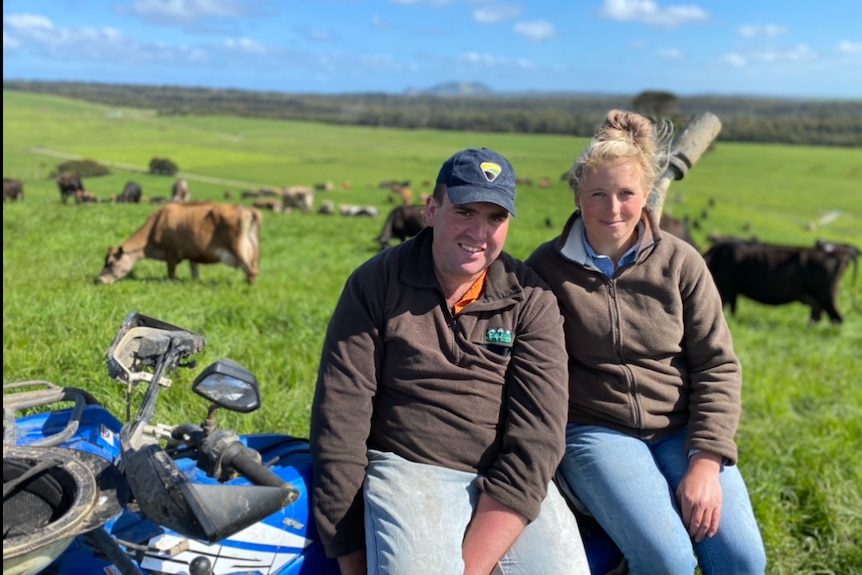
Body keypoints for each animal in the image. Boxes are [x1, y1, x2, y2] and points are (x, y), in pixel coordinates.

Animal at [96, 201, 262, 286]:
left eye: (111, 263)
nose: (100, 280)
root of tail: (248, 210)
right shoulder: (193, 255)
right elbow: (195, 272)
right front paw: (195, 283)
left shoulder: (172, 253)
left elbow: (171, 273)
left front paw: (171, 284)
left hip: (239, 249)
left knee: (251, 271)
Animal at [704, 237, 860, 326]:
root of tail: (838, 255)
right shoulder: (733, 292)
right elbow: (733, 310)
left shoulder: (725, 289)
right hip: (819, 300)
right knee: (817, 318)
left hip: (827, 295)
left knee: (837, 318)